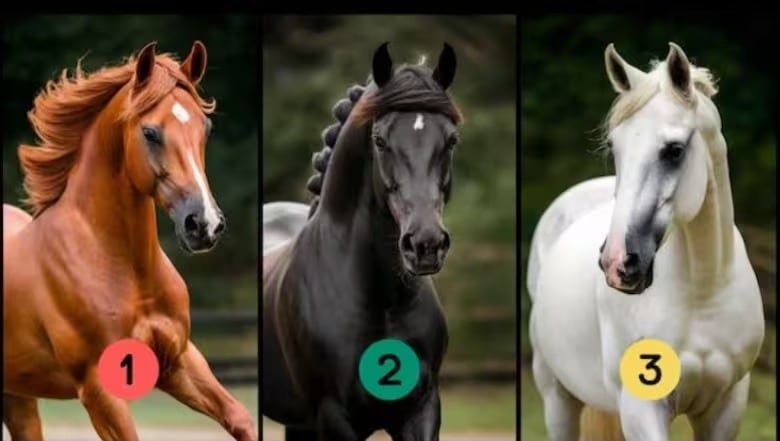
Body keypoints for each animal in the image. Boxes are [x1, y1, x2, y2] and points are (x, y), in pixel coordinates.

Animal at [3, 41, 256, 441]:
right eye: (150, 132)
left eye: (206, 127)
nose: (204, 224)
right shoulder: (99, 388)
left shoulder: (179, 360)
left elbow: (240, 417)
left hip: (18, 397)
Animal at [262, 42, 461, 440]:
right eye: (380, 141)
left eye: (451, 140)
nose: (426, 244)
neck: (382, 301)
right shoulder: (333, 415)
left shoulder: (422, 410)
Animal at [527, 43, 765, 441]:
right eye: (614, 147)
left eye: (673, 150)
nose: (617, 263)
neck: (703, 293)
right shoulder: (641, 408)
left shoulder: (726, 406)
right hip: (557, 399)